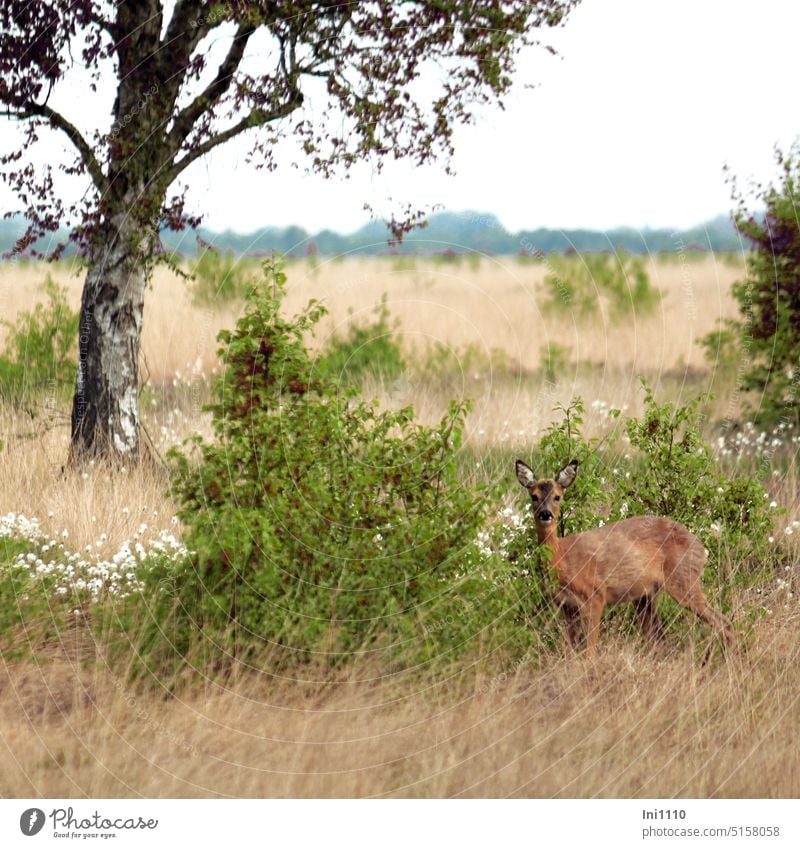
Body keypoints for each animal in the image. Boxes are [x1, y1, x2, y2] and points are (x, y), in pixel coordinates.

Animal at [516, 460, 736, 652]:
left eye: (557, 496)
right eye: (533, 496)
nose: (546, 514)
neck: (562, 558)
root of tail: (701, 547)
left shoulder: (595, 595)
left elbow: (590, 650)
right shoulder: (566, 606)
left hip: (684, 579)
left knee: (724, 624)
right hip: (647, 595)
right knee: (660, 638)